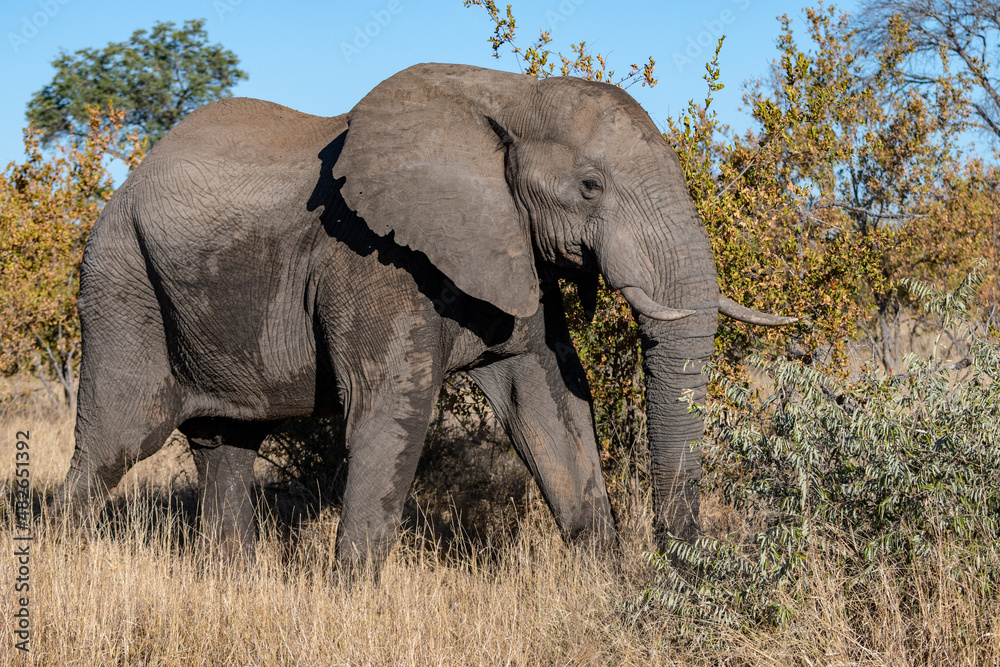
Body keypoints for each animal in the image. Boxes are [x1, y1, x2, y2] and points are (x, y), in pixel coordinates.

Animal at [54, 62, 792, 568]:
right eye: (590, 186)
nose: (674, 568)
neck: (507, 95)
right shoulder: (372, 259)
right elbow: (390, 415)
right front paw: (351, 604)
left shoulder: (511, 247)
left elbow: (549, 401)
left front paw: (604, 583)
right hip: (121, 284)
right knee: (117, 440)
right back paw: (66, 567)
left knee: (226, 448)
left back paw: (228, 580)